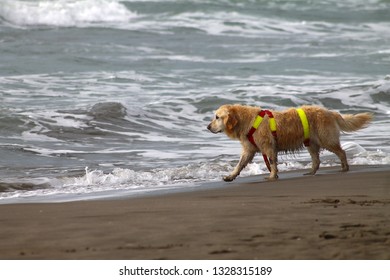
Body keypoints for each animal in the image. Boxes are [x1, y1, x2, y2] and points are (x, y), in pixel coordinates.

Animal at [207, 104, 372, 180]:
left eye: (217, 117)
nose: (207, 127)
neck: (248, 121)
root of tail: (330, 112)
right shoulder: (249, 150)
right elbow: (239, 164)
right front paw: (230, 176)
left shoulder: (269, 147)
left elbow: (272, 163)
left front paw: (272, 176)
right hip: (311, 143)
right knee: (316, 160)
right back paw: (311, 172)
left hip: (326, 139)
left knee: (341, 152)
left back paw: (344, 168)